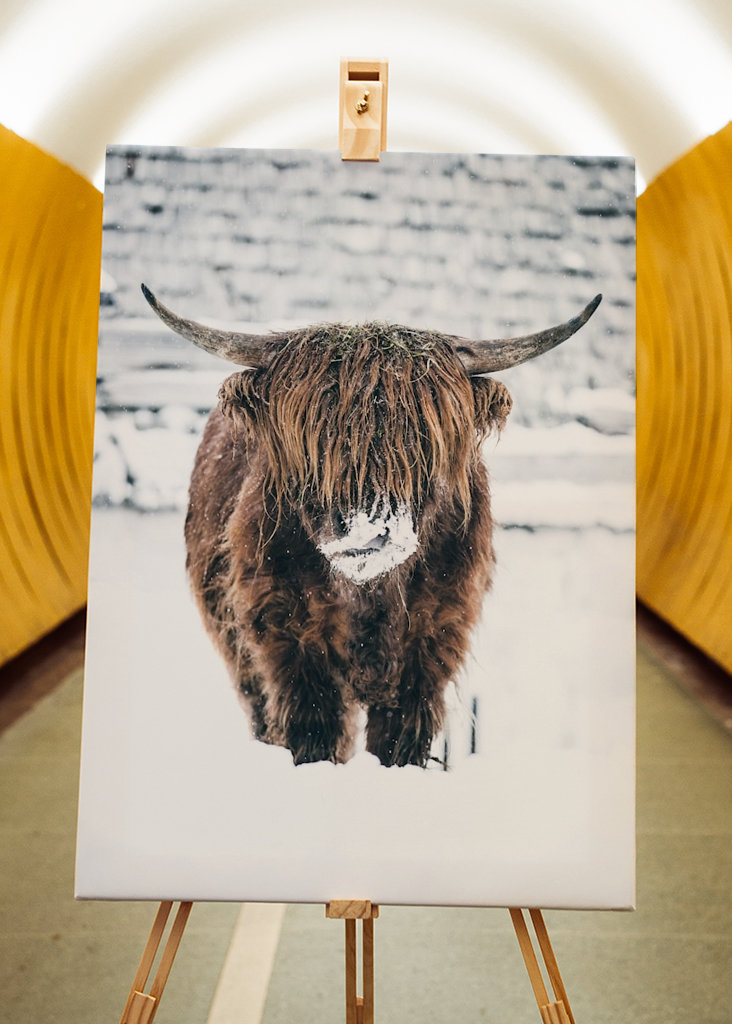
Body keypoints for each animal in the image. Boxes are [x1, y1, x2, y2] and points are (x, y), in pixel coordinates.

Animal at [142, 284, 601, 767]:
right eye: (314, 442)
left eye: (422, 442)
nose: (368, 533)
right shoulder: (287, 637)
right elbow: (314, 731)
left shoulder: (434, 640)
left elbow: (400, 739)